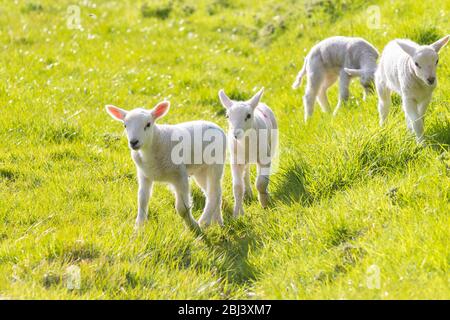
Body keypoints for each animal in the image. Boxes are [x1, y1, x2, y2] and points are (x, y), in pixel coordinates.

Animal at [104, 101, 225, 231]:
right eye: (125, 125)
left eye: (148, 124)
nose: (133, 142)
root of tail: (214, 125)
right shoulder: (144, 175)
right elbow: (142, 200)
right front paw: (139, 227)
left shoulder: (180, 175)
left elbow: (182, 208)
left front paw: (193, 226)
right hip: (200, 170)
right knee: (215, 192)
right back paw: (218, 221)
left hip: (216, 164)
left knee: (214, 193)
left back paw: (204, 221)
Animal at [219, 87, 278, 218]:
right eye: (227, 116)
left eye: (248, 115)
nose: (235, 134)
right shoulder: (236, 161)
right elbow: (237, 187)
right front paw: (237, 213)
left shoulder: (264, 157)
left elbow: (261, 182)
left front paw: (265, 202)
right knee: (245, 173)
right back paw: (247, 193)